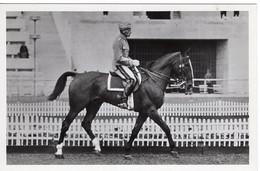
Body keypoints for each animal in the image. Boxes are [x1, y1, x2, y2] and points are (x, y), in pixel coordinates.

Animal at [47, 51, 193, 159]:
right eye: (186, 65)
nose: (190, 85)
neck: (154, 79)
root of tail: (77, 75)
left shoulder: (144, 112)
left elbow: (135, 130)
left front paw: (127, 151)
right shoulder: (151, 110)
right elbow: (166, 127)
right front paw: (173, 149)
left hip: (94, 105)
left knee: (86, 123)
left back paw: (97, 148)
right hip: (77, 105)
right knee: (66, 123)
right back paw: (59, 152)